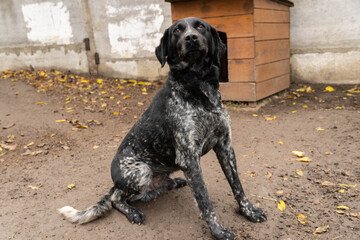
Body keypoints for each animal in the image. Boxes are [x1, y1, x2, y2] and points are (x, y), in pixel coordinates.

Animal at [59, 17, 266, 240]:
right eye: (177, 30)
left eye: (200, 26)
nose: (191, 38)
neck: (198, 84)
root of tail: (115, 183)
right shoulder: (189, 158)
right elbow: (204, 200)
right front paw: (218, 230)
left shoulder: (225, 146)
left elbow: (237, 185)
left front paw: (249, 211)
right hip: (140, 172)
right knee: (116, 198)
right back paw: (132, 211)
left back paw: (175, 182)